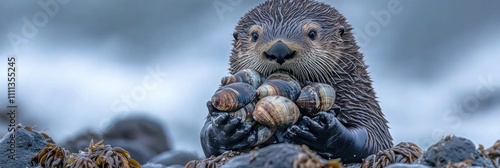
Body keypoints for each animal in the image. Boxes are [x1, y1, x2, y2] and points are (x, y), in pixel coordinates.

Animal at [201, 0, 392, 163]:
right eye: (254, 35)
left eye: (312, 33)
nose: (279, 50)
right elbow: (206, 137)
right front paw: (225, 129)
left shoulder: (361, 102)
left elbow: (372, 137)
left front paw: (320, 130)